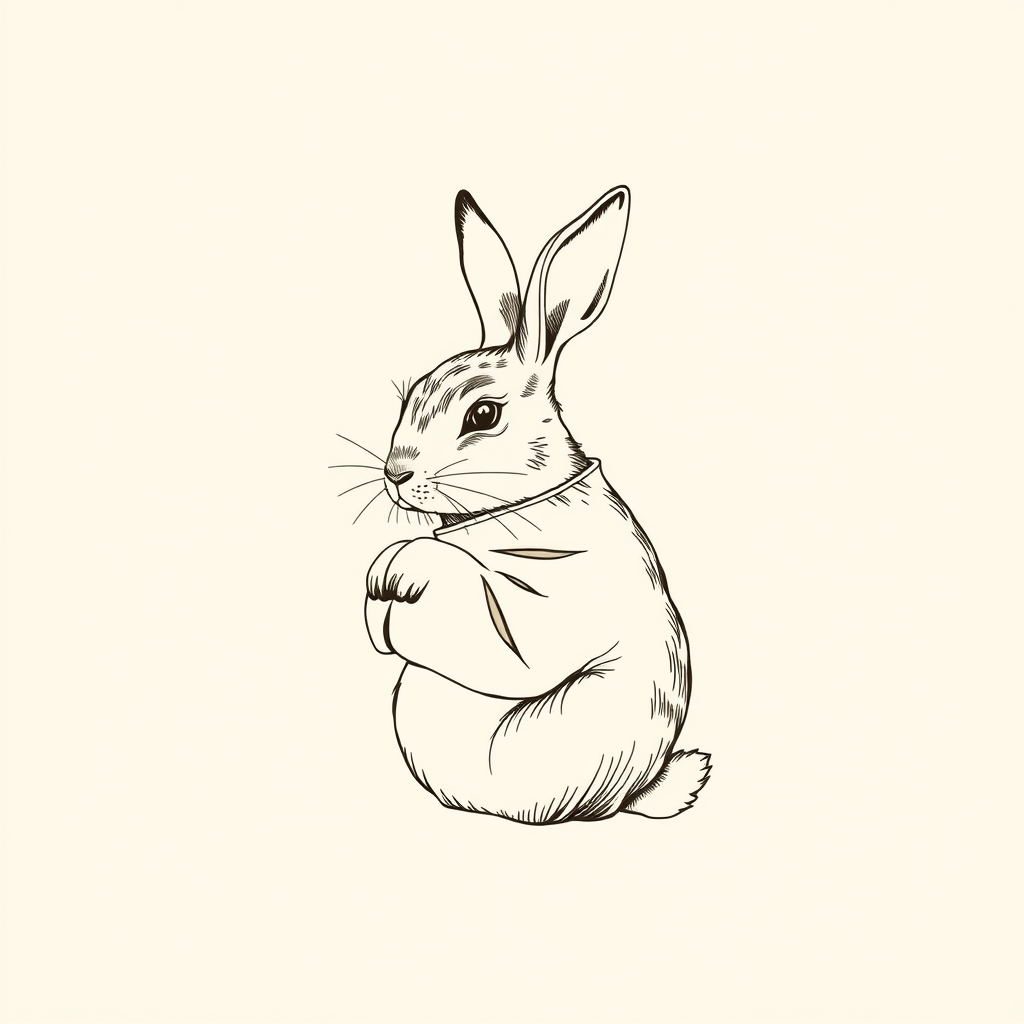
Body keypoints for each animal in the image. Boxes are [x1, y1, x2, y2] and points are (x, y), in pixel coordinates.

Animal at [363, 186, 711, 824]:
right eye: (410, 396)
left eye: (483, 415)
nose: (396, 474)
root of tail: (634, 791)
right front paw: (379, 590)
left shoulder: (553, 593)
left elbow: (502, 632)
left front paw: (400, 572)